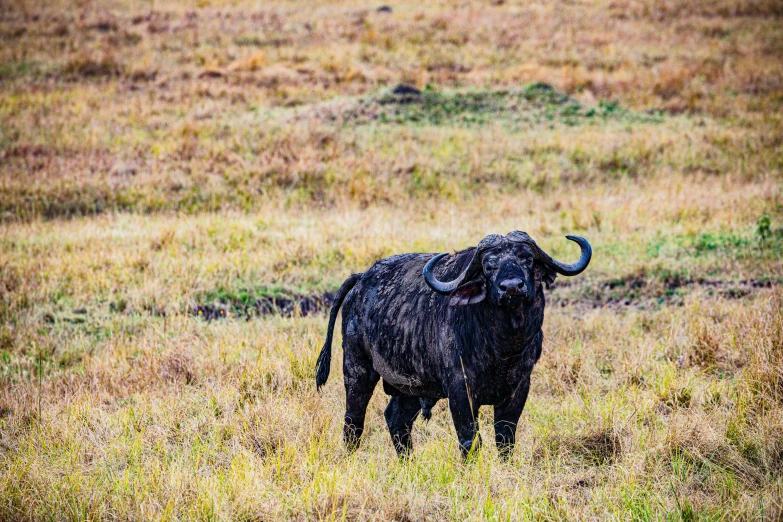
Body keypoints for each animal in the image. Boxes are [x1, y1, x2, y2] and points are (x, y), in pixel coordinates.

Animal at [316, 231, 592, 456]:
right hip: (357, 369)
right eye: (488, 265)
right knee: (353, 423)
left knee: (396, 418)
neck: (503, 348)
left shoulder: (519, 388)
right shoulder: (460, 391)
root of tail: (361, 280)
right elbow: (470, 440)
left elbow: (505, 440)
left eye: (527, 259)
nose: (512, 287)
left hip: (410, 386)